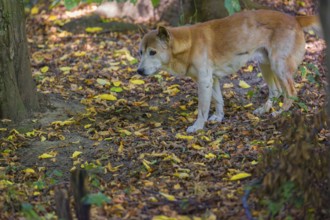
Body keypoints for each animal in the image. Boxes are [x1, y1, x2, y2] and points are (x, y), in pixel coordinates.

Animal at [135, 9, 320, 132]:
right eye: (140, 52)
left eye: (153, 52)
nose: (139, 71)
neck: (189, 45)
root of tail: (295, 18)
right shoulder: (212, 80)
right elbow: (218, 101)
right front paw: (218, 117)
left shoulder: (204, 81)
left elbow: (202, 108)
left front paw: (198, 126)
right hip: (265, 65)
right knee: (276, 91)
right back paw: (264, 110)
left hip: (278, 66)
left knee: (291, 92)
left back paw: (281, 112)